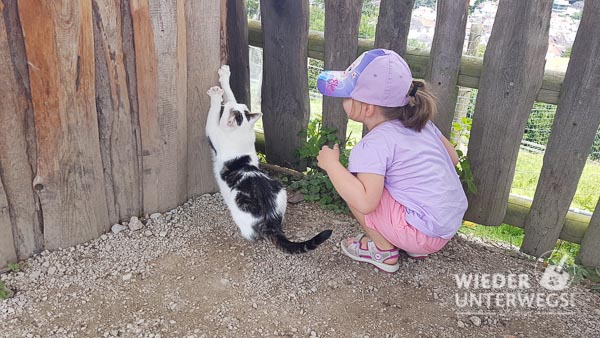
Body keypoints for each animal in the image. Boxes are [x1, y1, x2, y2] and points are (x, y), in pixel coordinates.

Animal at [204, 64, 330, 254]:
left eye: (226, 110)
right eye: (238, 106)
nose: (226, 105)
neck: (240, 133)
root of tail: (271, 220)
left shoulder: (213, 132)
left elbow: (211, 116)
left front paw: (216, 96)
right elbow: (231, 92)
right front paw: (225, 76)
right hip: (282, 190)